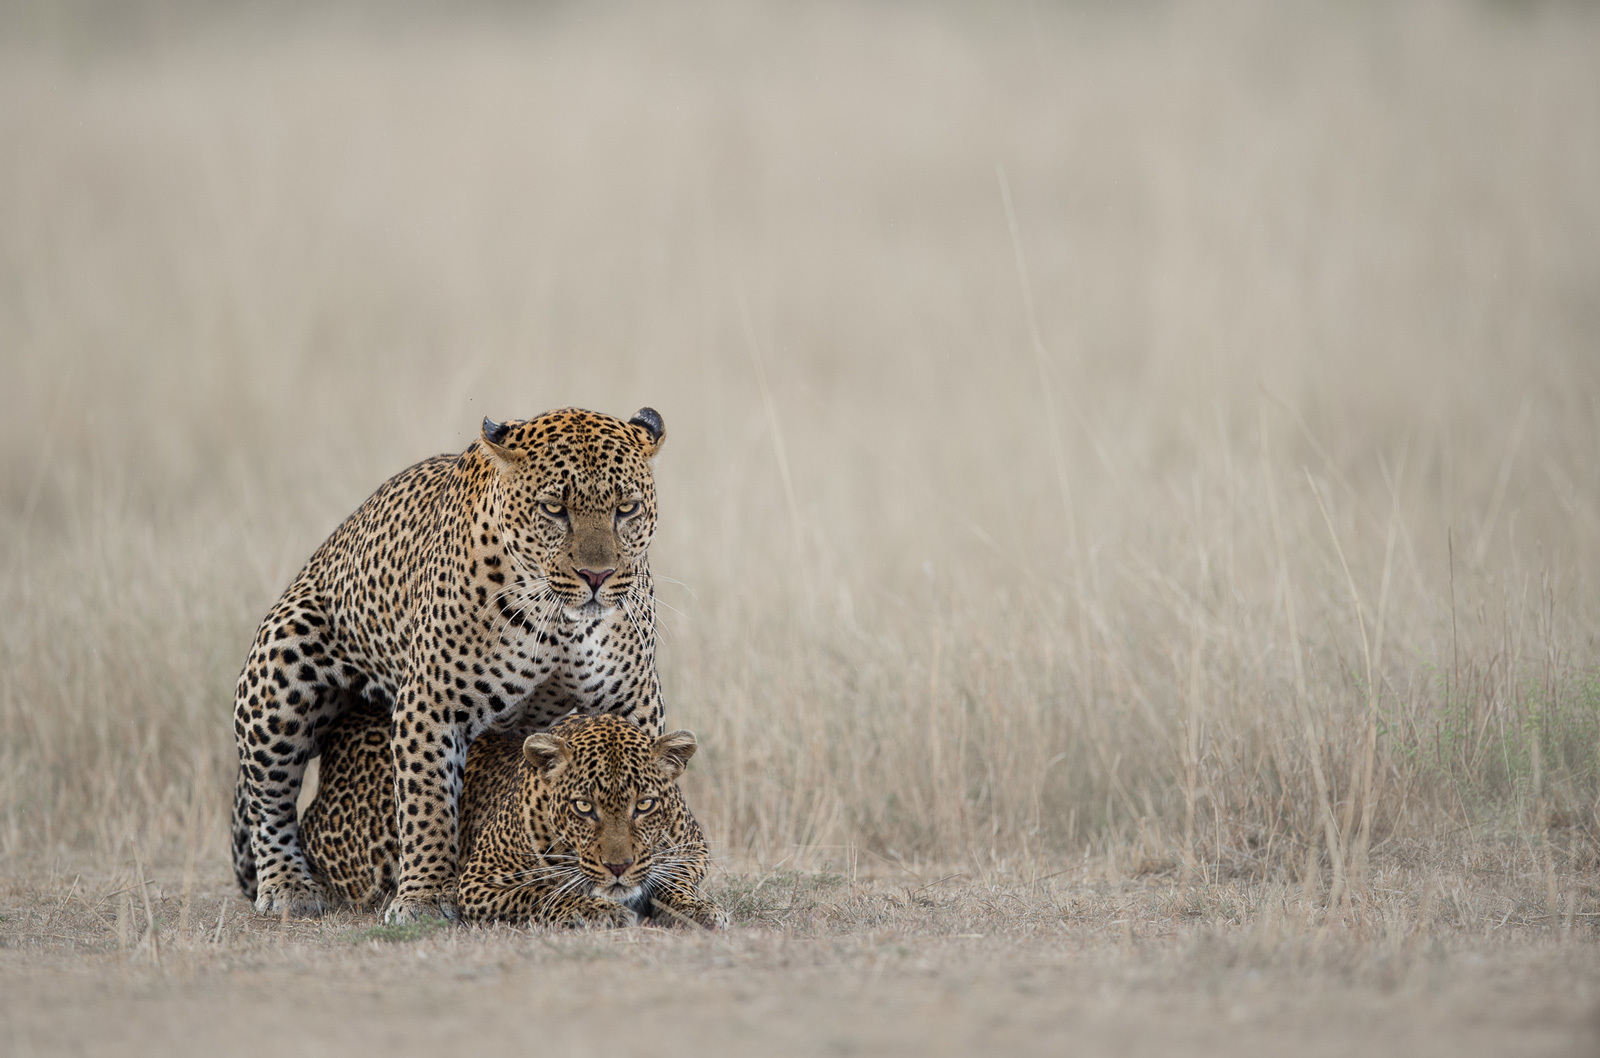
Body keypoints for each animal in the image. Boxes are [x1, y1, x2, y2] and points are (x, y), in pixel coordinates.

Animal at [232, 400, 668, 921]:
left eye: (627, 509)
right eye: (554, 509)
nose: (597, 576)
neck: (560, 622)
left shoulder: (633, 701)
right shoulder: (430, 703)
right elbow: (427, 803)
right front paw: (423, 896)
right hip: (280, 670)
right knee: (268, 802)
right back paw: (287, 886)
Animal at [300, 704, 726, 928]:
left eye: (644, 805)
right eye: (583, 807)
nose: (617, 867)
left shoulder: (693, 848)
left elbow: (678, 881)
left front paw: (699, 909)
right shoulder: (479, 881)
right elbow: (545, 892)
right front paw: (600, 909)